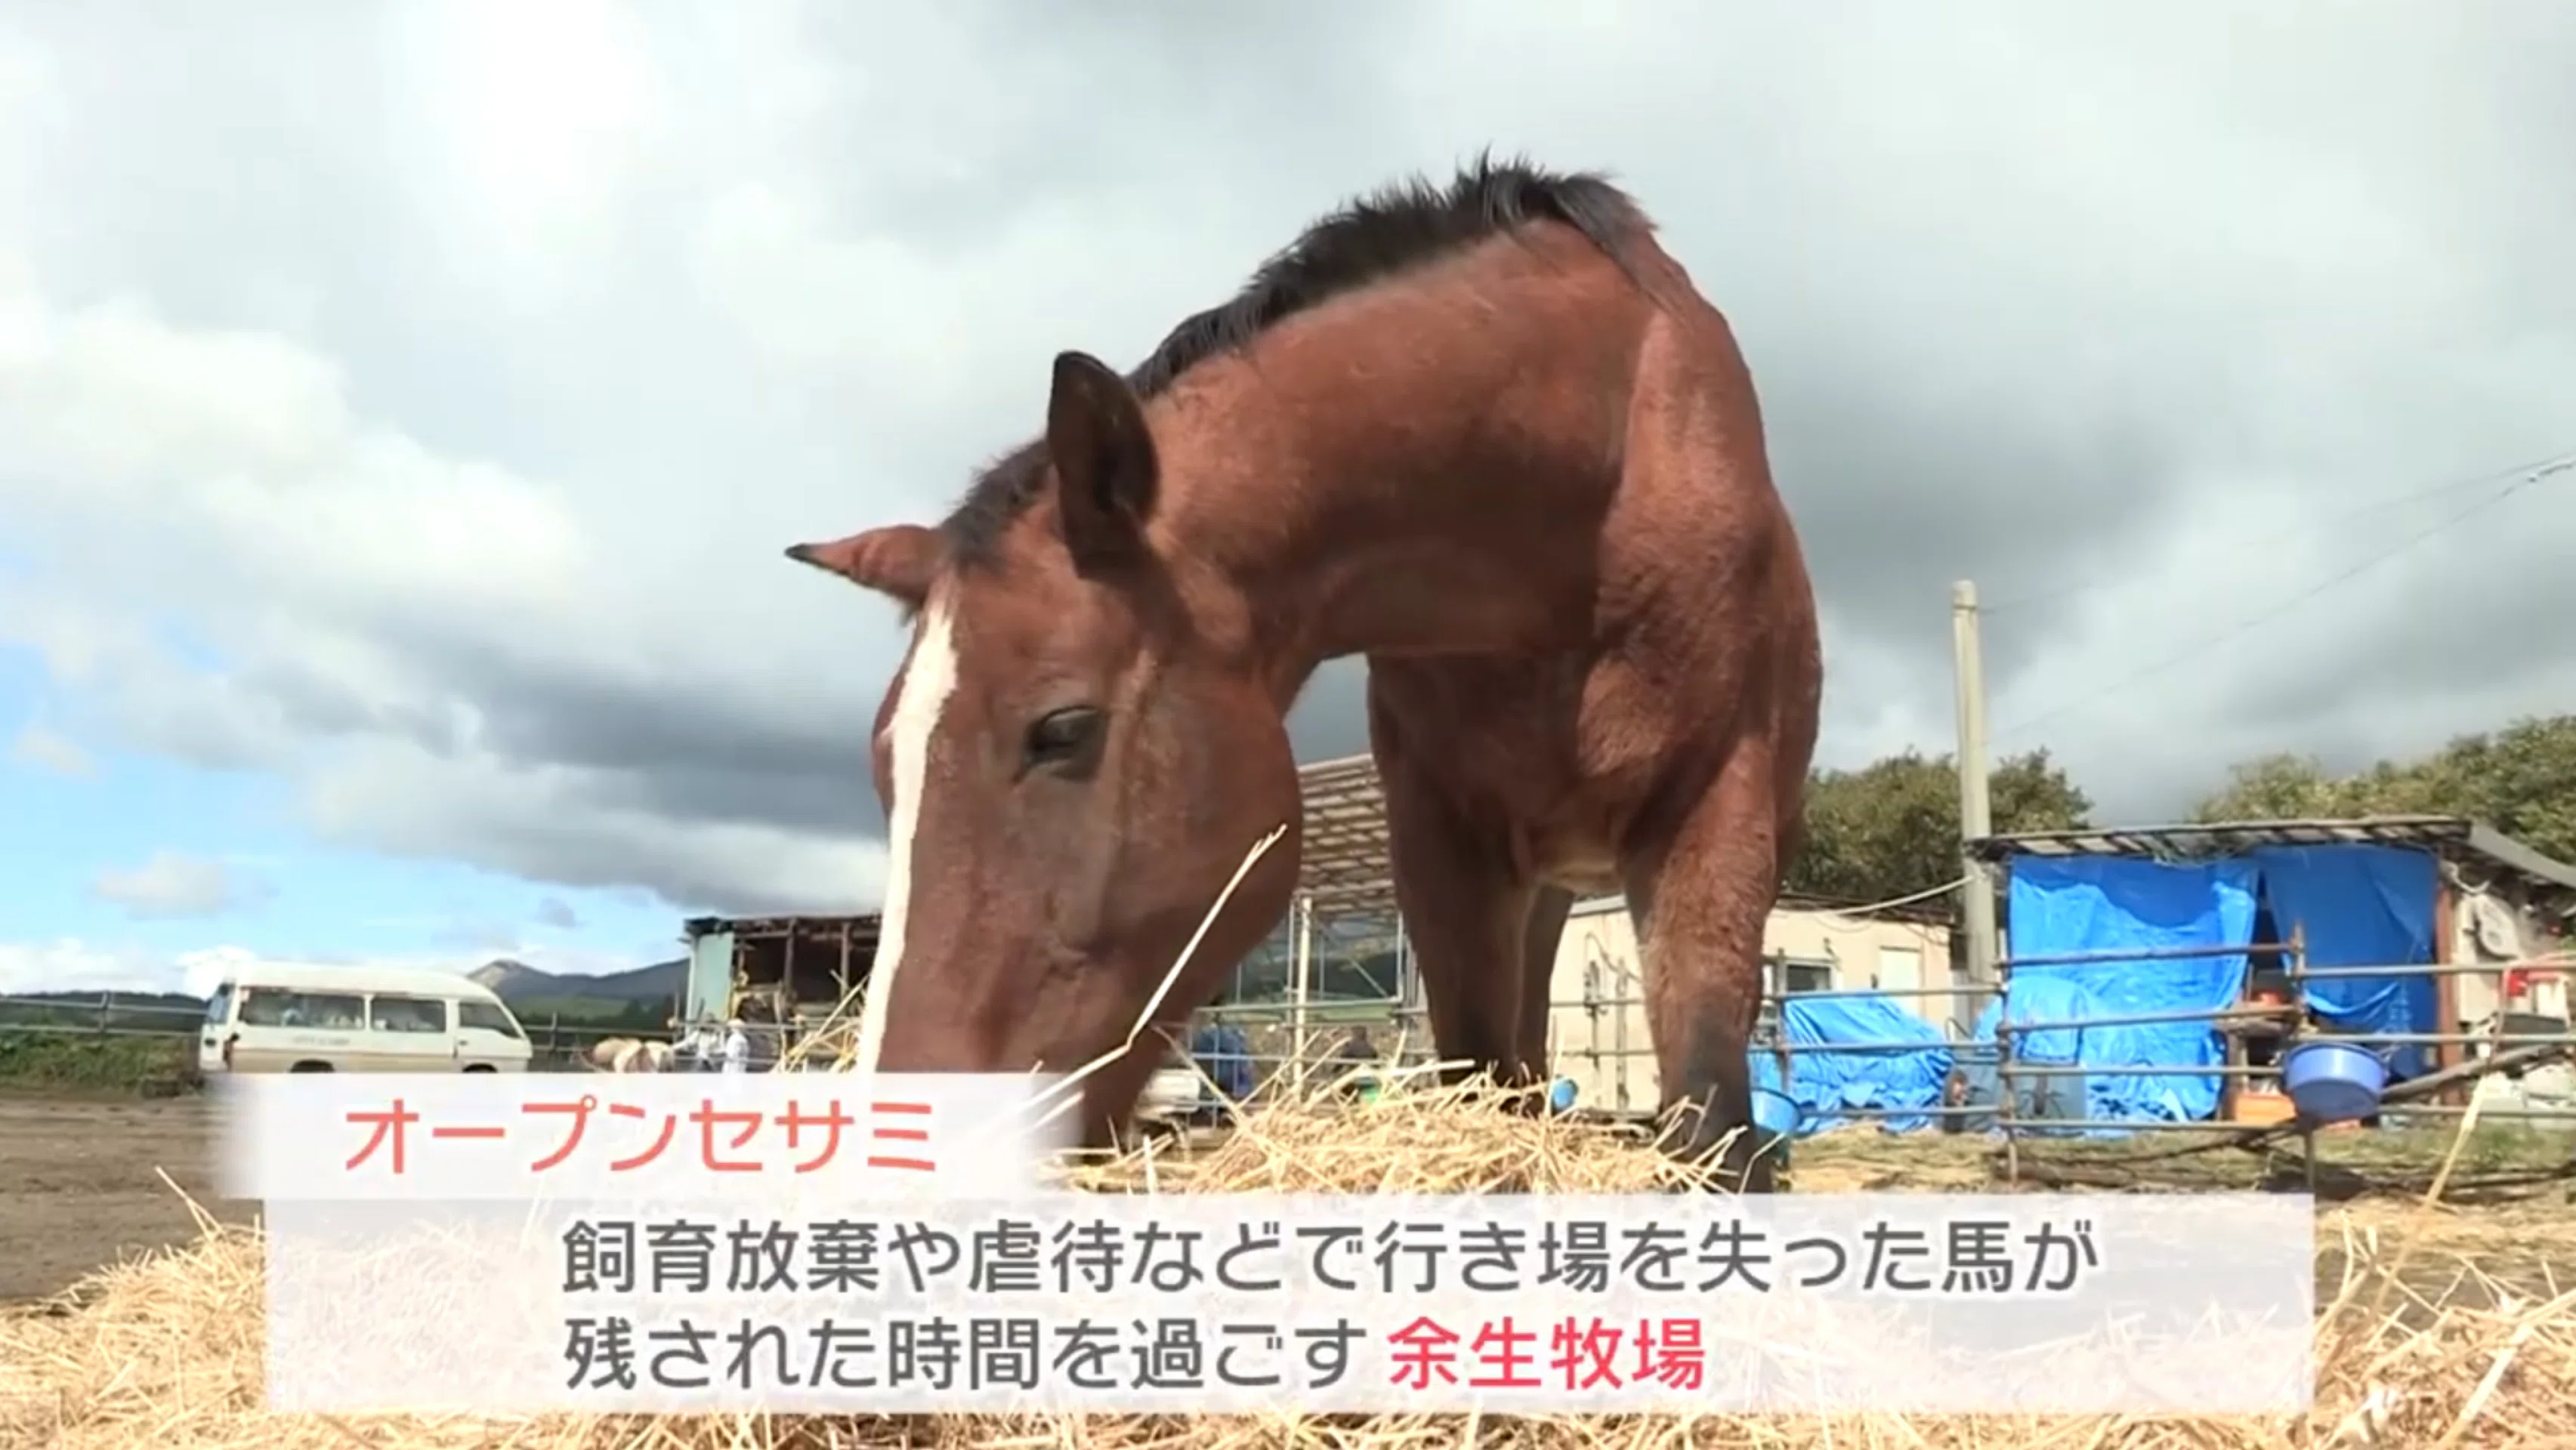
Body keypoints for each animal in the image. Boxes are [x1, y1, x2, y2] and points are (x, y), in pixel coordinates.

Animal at [786, 155, 1822, 1192]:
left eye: (1063, 729)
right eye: (883, 764)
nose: (899, 1150)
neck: (1592, 475)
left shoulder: (1710, 808)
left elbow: (1713, 1124)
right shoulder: (1445, 843)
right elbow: (1481, 1080)